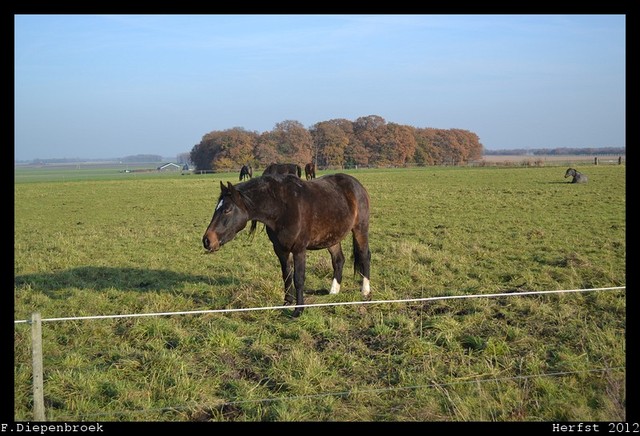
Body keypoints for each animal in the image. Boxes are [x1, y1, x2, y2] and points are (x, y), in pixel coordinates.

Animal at [202, 172, 372, 316]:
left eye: (227, 210)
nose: (207, 240)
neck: (282, 209)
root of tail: (356, 185)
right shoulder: (281, 250)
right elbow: (286, 276)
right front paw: (287, 303)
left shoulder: (299, 250)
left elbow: (298, 278)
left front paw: (298, 310)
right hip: (332, 238)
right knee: (338, 260)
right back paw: (333, 291)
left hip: (360, 229)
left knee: (364, 256)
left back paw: (365, 292)